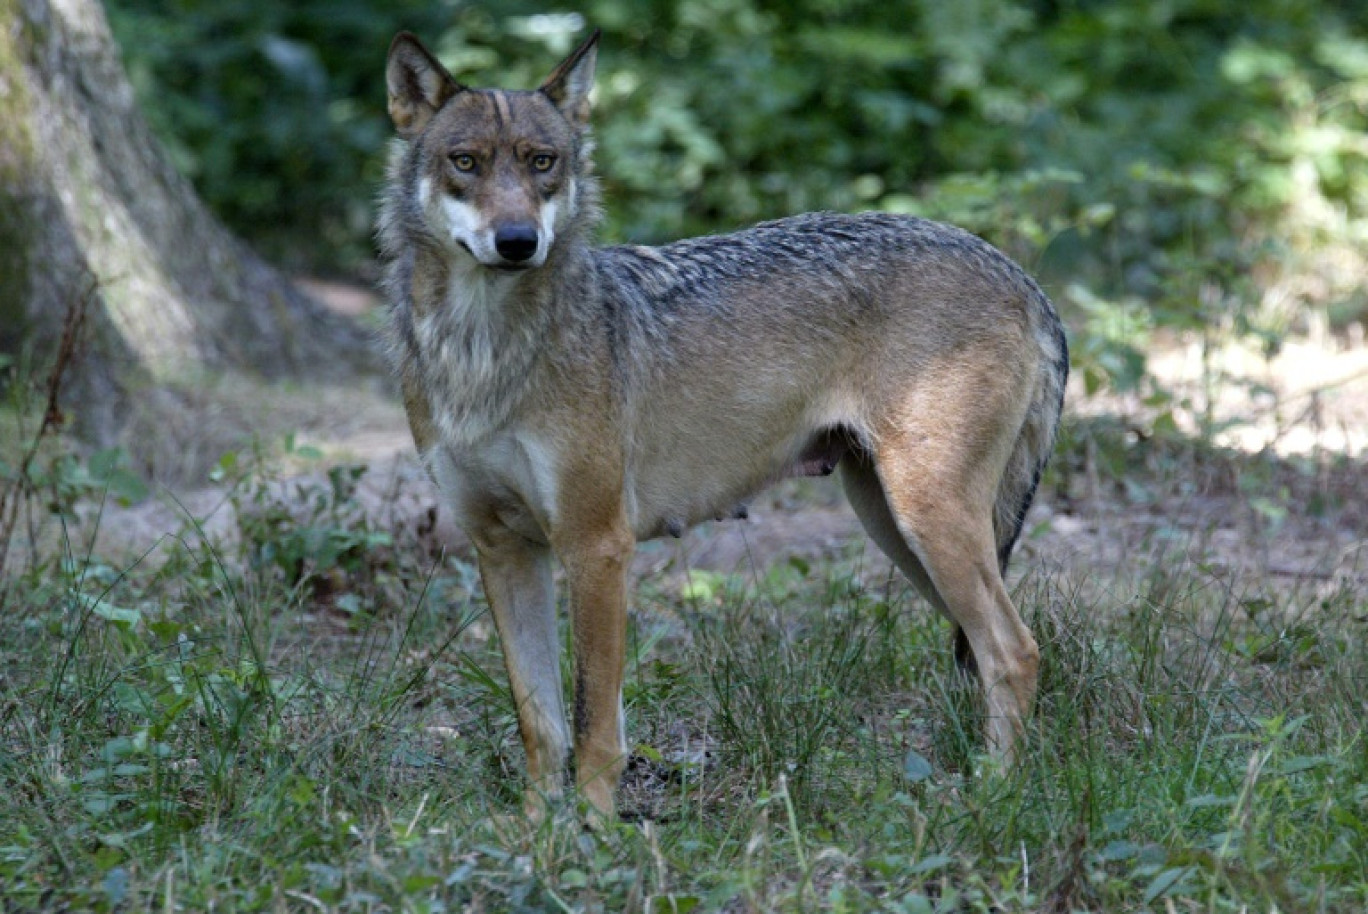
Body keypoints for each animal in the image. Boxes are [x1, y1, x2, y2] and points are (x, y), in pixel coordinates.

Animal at [377, 28, 1067, 815]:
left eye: (541, 162)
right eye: (466, 162)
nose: (519, 240)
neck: (482, 350)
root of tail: (1022, 277)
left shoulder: (597, 547)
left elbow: (593, 728)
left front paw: (593, 832)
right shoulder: (503, 550)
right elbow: (540, 725)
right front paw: (534, 831)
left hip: (930, 523)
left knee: (1016, 651)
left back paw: (996, 797)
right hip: (900, 531)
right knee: (989, 651)